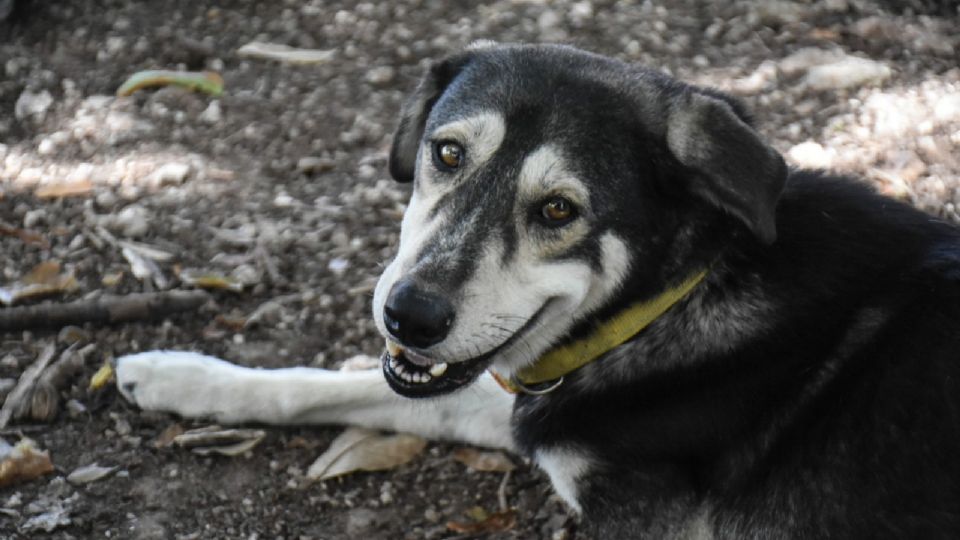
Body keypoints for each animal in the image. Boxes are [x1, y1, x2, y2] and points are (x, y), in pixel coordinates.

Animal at [118, 44, 960, 536]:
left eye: (559, 210)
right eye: (446, 153)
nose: (409, 316)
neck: (672, 298)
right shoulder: (532, 403)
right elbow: (342, 385)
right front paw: (181, 376)